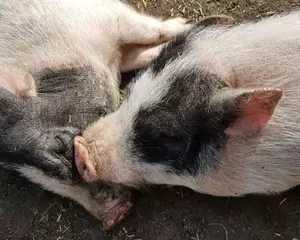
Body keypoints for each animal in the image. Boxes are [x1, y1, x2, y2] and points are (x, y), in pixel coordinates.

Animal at [0, 0, 191, 230]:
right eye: (28, 177)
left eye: (60, 146)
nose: (111, 218)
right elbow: (139, 55)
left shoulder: (106, 13)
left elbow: (152, 31)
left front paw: (190, 24)